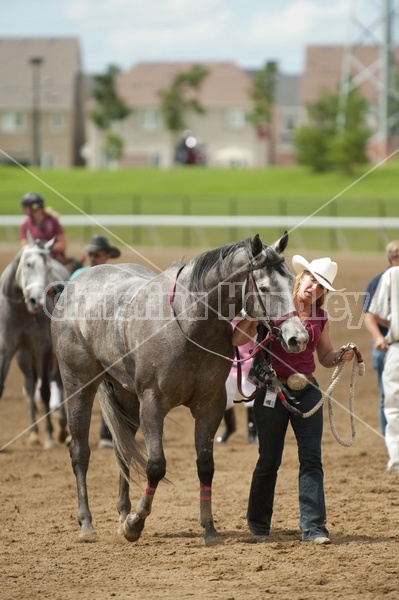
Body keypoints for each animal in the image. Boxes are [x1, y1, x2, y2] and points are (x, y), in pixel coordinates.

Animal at [0, 232, 70, 448]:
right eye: (29, 264)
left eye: (48, 268)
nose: (37, 301)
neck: (21, 311)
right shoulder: (6, 349)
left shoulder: (44, 347)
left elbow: (46, 390)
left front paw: (49, 436)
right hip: (24, 354)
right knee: (30, 385)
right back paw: (33, 432)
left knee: (56, 382)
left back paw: (62, 429)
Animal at [52, 232, 310, 548]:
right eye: (263, 287)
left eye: (292, 280)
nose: (298, 338)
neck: (190, 323)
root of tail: (72, 286)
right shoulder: (152, 403)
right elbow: (156, 466)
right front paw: (135, 524)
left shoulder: (210, 405)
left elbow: (205, 465)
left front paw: (209, 528)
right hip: (78, 384)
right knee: (80, 452)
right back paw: (87, 523)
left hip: (125, 396)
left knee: (122, 449)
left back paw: (122, 512)